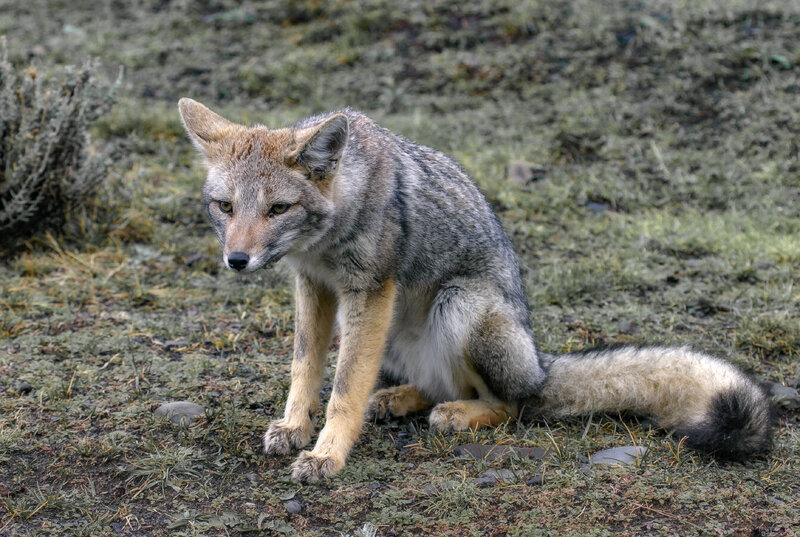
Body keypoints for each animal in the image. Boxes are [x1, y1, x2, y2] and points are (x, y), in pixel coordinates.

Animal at [177, 98, 772, 483]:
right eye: (225, 207)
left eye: (278, 208)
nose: (237, 260)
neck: (327, 233)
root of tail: (540, 364)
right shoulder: (315, 286)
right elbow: (305, 366)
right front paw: (293, 426)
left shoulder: (369, 290)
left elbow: (344, 386)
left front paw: (328, 456)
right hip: (395, 331)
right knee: (437, 384)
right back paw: (401, 398)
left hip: (459, 304)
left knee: (510, 404)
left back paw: (461, 414)